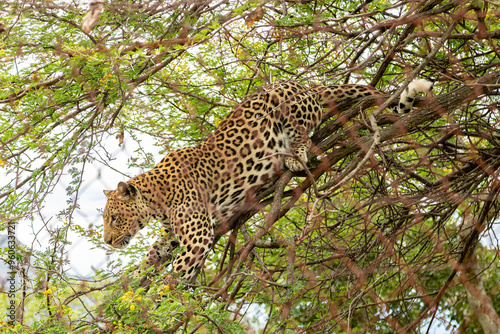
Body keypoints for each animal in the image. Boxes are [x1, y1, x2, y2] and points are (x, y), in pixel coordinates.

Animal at [102, 77, 434, 282]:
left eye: (114, 218)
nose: (107, 241)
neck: (155, 199)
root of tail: (307, 85)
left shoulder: (198, 236)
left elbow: (177, 274)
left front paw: (162, 300)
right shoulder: (176, 230)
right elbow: (155, 250)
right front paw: (139, 273)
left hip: (284, 104)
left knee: (302, 134)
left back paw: (293, 156)